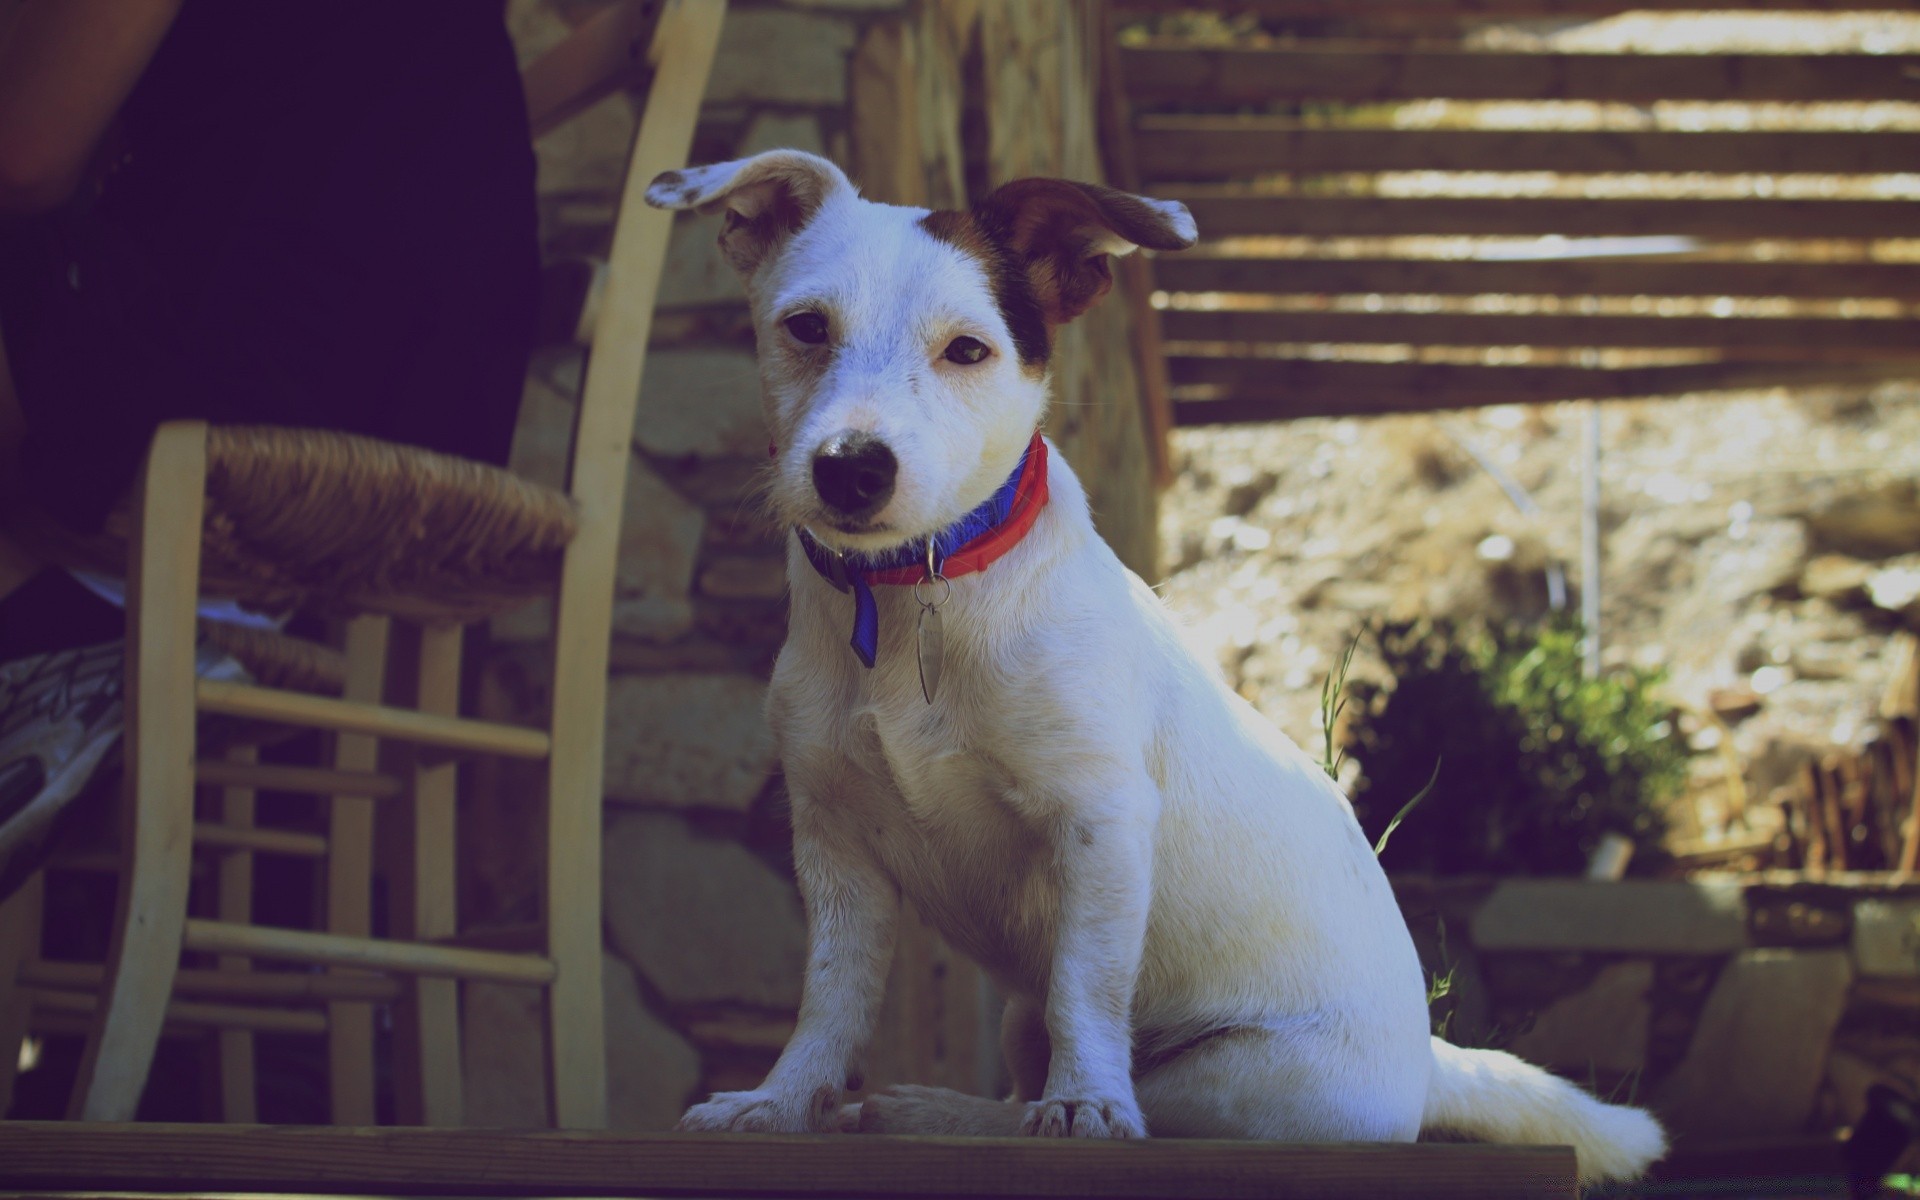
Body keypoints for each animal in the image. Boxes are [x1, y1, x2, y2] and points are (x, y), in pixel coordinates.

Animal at [645, 151, 1666, 1190]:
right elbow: (831, 996)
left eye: (967, 351)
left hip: (1243, 1083)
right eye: (807, 328)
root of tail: (1429, 1062)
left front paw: (1086, 1107)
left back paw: (942, 1112)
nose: (852, 466)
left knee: (1127, 1104)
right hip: (1029, 1018)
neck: (914, 596)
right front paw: (780, 1103)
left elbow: (1086, 992)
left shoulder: (1099, 822)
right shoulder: (836, 842)